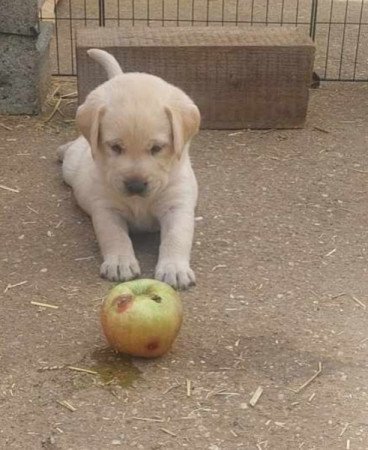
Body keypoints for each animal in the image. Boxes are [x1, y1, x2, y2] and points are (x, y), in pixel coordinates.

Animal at [57, 48, 200, 288]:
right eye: (115, 147)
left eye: (156, 148)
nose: (135, 185)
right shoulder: (106, 208)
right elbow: (115, 236)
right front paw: (120, 263)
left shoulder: (177, 204)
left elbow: (176, 237)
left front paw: (174, 268)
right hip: (72, 167)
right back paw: (62, 149)